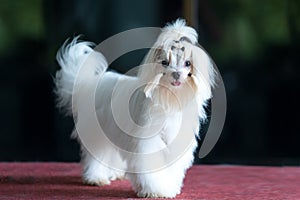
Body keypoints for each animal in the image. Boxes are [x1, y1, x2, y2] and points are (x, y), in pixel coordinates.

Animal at [55, 19, 216, 198]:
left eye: (188, 63)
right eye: (165, 63)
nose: (176, 74)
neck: (169, 99)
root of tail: (91, 83)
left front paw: (168, 187)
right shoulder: (148, 144)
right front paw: (156, 190)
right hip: (97, 133)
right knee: (96, 156)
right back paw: (96, 178)